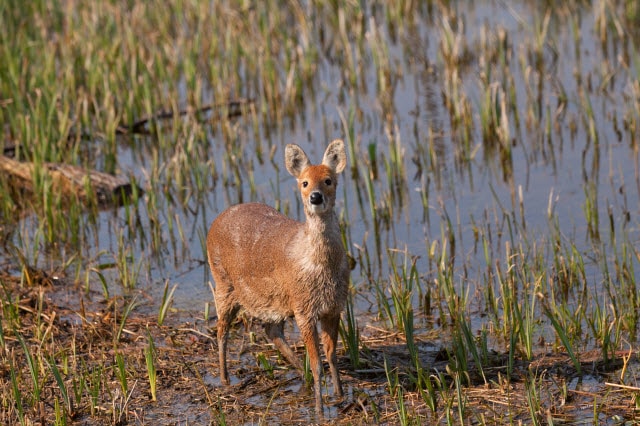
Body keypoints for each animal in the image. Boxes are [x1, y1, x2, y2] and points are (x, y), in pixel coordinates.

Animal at [206, 139, 350, 416]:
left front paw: (340, 396)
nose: (315, 197)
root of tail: (216, 220)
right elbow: (318, 363)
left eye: (328, 180)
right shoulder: (304, 309)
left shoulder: (333, 307)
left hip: (274, 301)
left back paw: (301, 378)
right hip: (223, 283)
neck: (320, 266)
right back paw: (225, 379)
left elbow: (332, 356)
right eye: (304, 182)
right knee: (221, 330)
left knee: (270, 329)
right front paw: (320, 410)